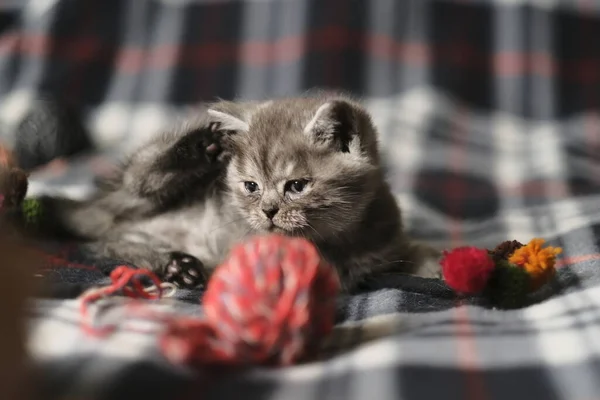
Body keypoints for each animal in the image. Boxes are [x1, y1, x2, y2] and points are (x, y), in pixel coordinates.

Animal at [22, 94, 440, 294]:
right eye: (251, 186)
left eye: (297, 186)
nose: (268, 211)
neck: (339, 241)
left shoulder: (387, 245)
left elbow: (415, 254)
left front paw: (441, 264)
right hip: (137, 190)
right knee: (140, 180)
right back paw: (198, 148)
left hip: (126, 231)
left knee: (110, 245)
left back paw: (178, 265)